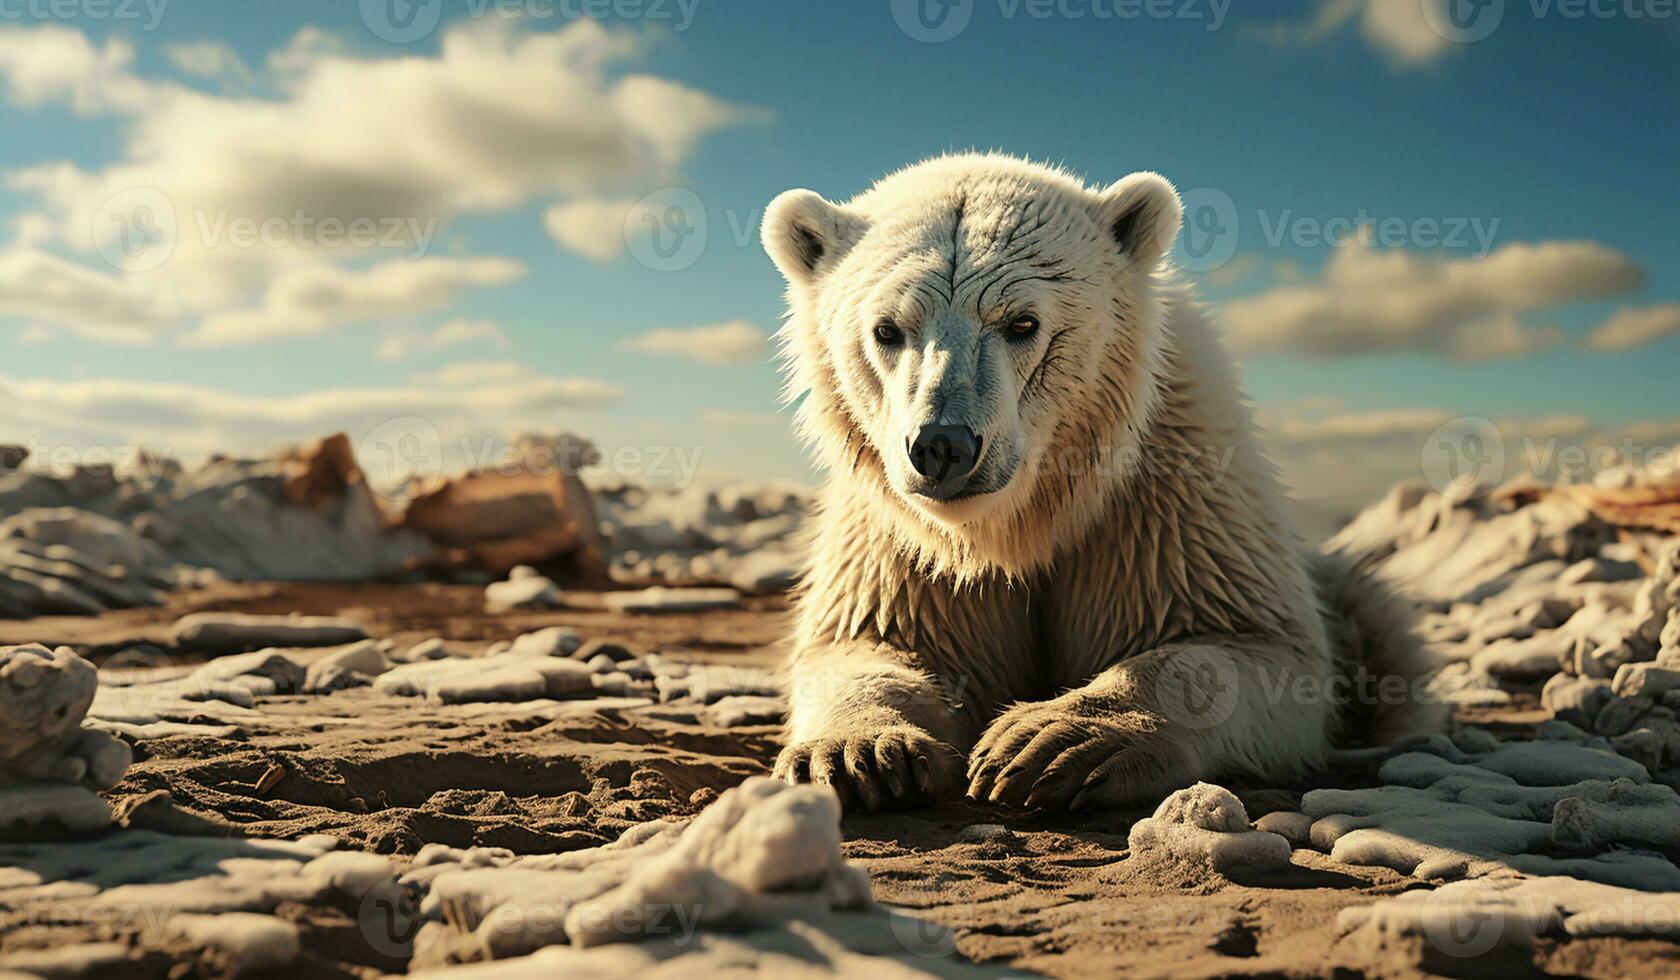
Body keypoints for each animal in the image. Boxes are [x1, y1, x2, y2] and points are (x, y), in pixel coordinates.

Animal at [762, 152, 1444, 813]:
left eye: (1021, 323)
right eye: (887, 329)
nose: (942, 445)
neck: (1017, 522)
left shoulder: (1169, 488)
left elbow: (1246, 643)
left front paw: (1051, 742)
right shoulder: (894, 535)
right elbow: (871, 639)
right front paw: (860, 756)